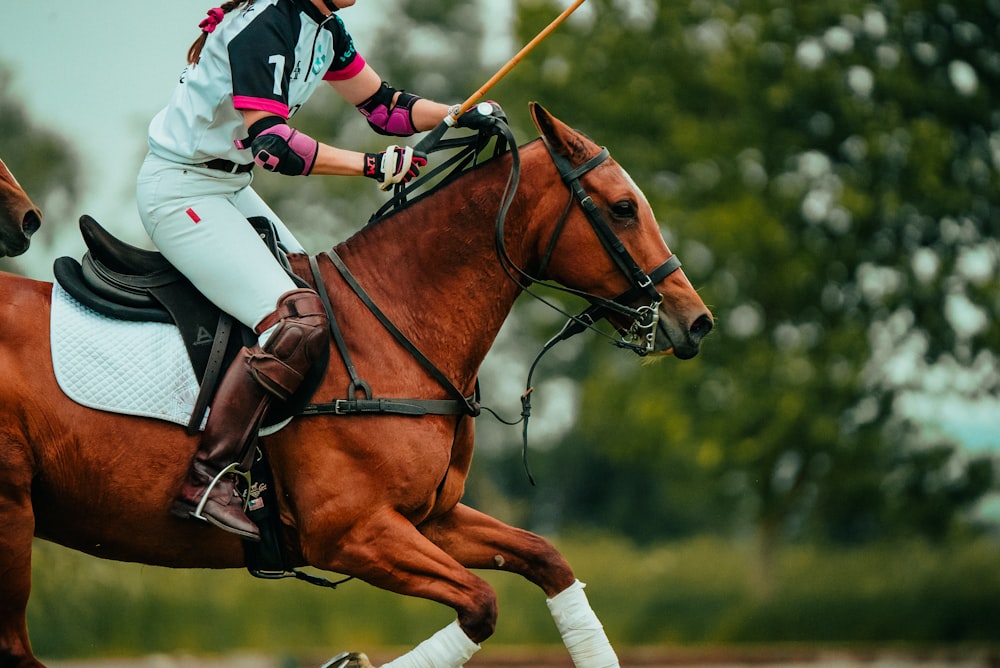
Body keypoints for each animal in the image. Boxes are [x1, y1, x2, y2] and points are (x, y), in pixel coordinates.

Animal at [0, 104, 712, 668]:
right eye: (623, 208)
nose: (695, 319)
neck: (395, 322)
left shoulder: (428, 518)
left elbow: (547, 559)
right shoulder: (352, 533)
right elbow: (481, 605)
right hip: (12, 511)